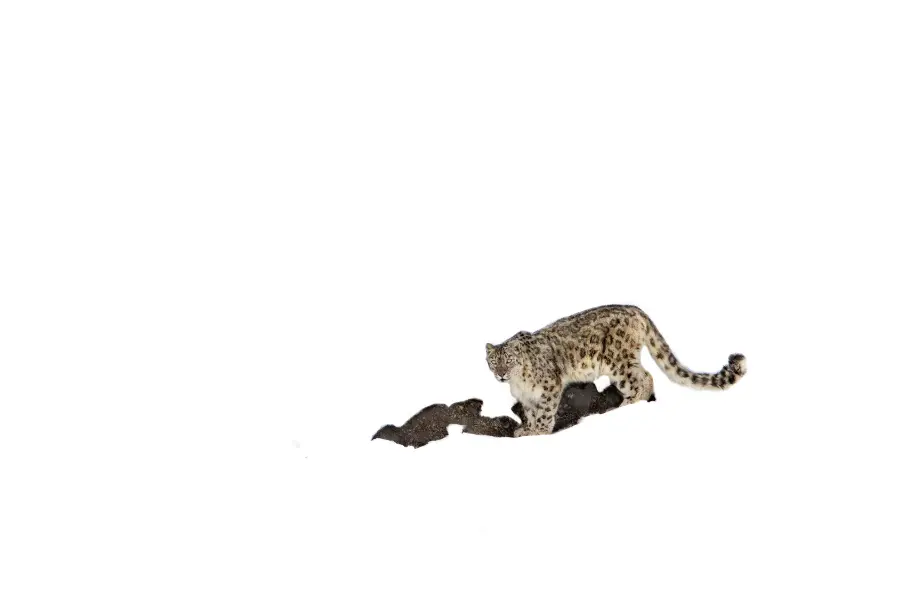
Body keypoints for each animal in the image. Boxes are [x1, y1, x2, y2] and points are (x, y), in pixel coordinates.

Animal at [485, 304, 746, 437]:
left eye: (509, 360)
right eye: (493, 362)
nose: (501, 374)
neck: (518, 383)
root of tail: (638, 310)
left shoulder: (550, 386)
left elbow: (545, 412)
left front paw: (538, 431)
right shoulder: (526, 397)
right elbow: (530, 412)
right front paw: (526, 429)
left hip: (618, 361)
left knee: (644, 378)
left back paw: (627, 404)